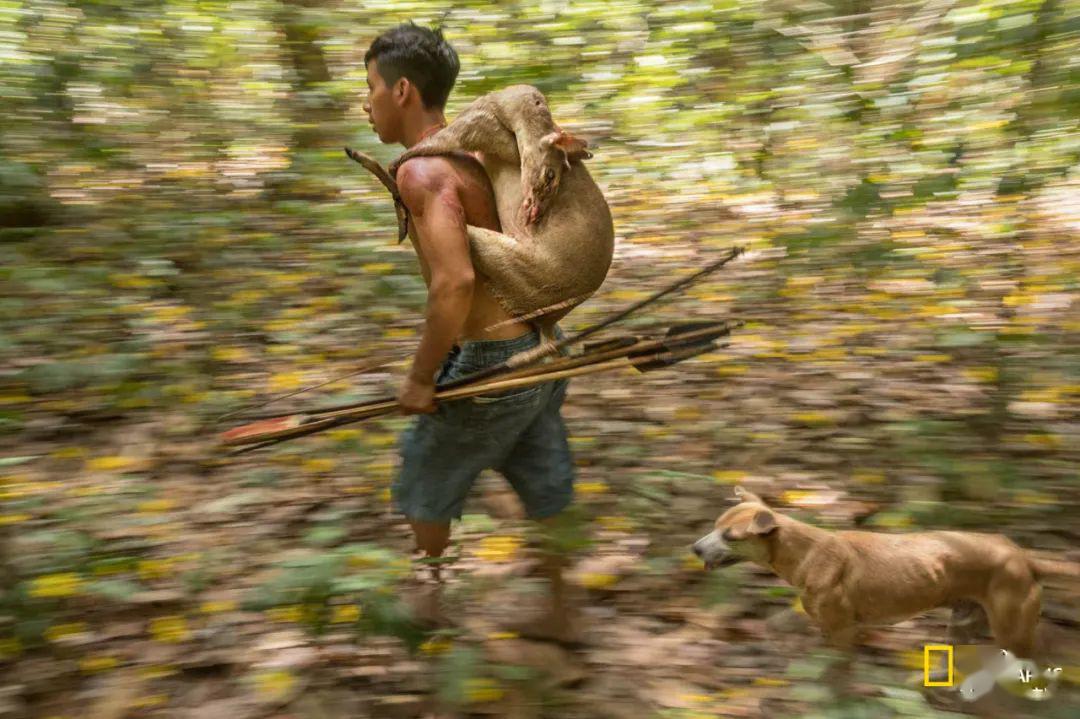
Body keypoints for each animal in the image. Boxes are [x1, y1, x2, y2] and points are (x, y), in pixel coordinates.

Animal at [695, 487, 1075, 656]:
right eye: (714, 526)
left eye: (730, 536)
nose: (694, 548)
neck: (806, 551)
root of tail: (1022, 556)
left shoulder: (842, 631)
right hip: (962, 628)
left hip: (1013, 632)